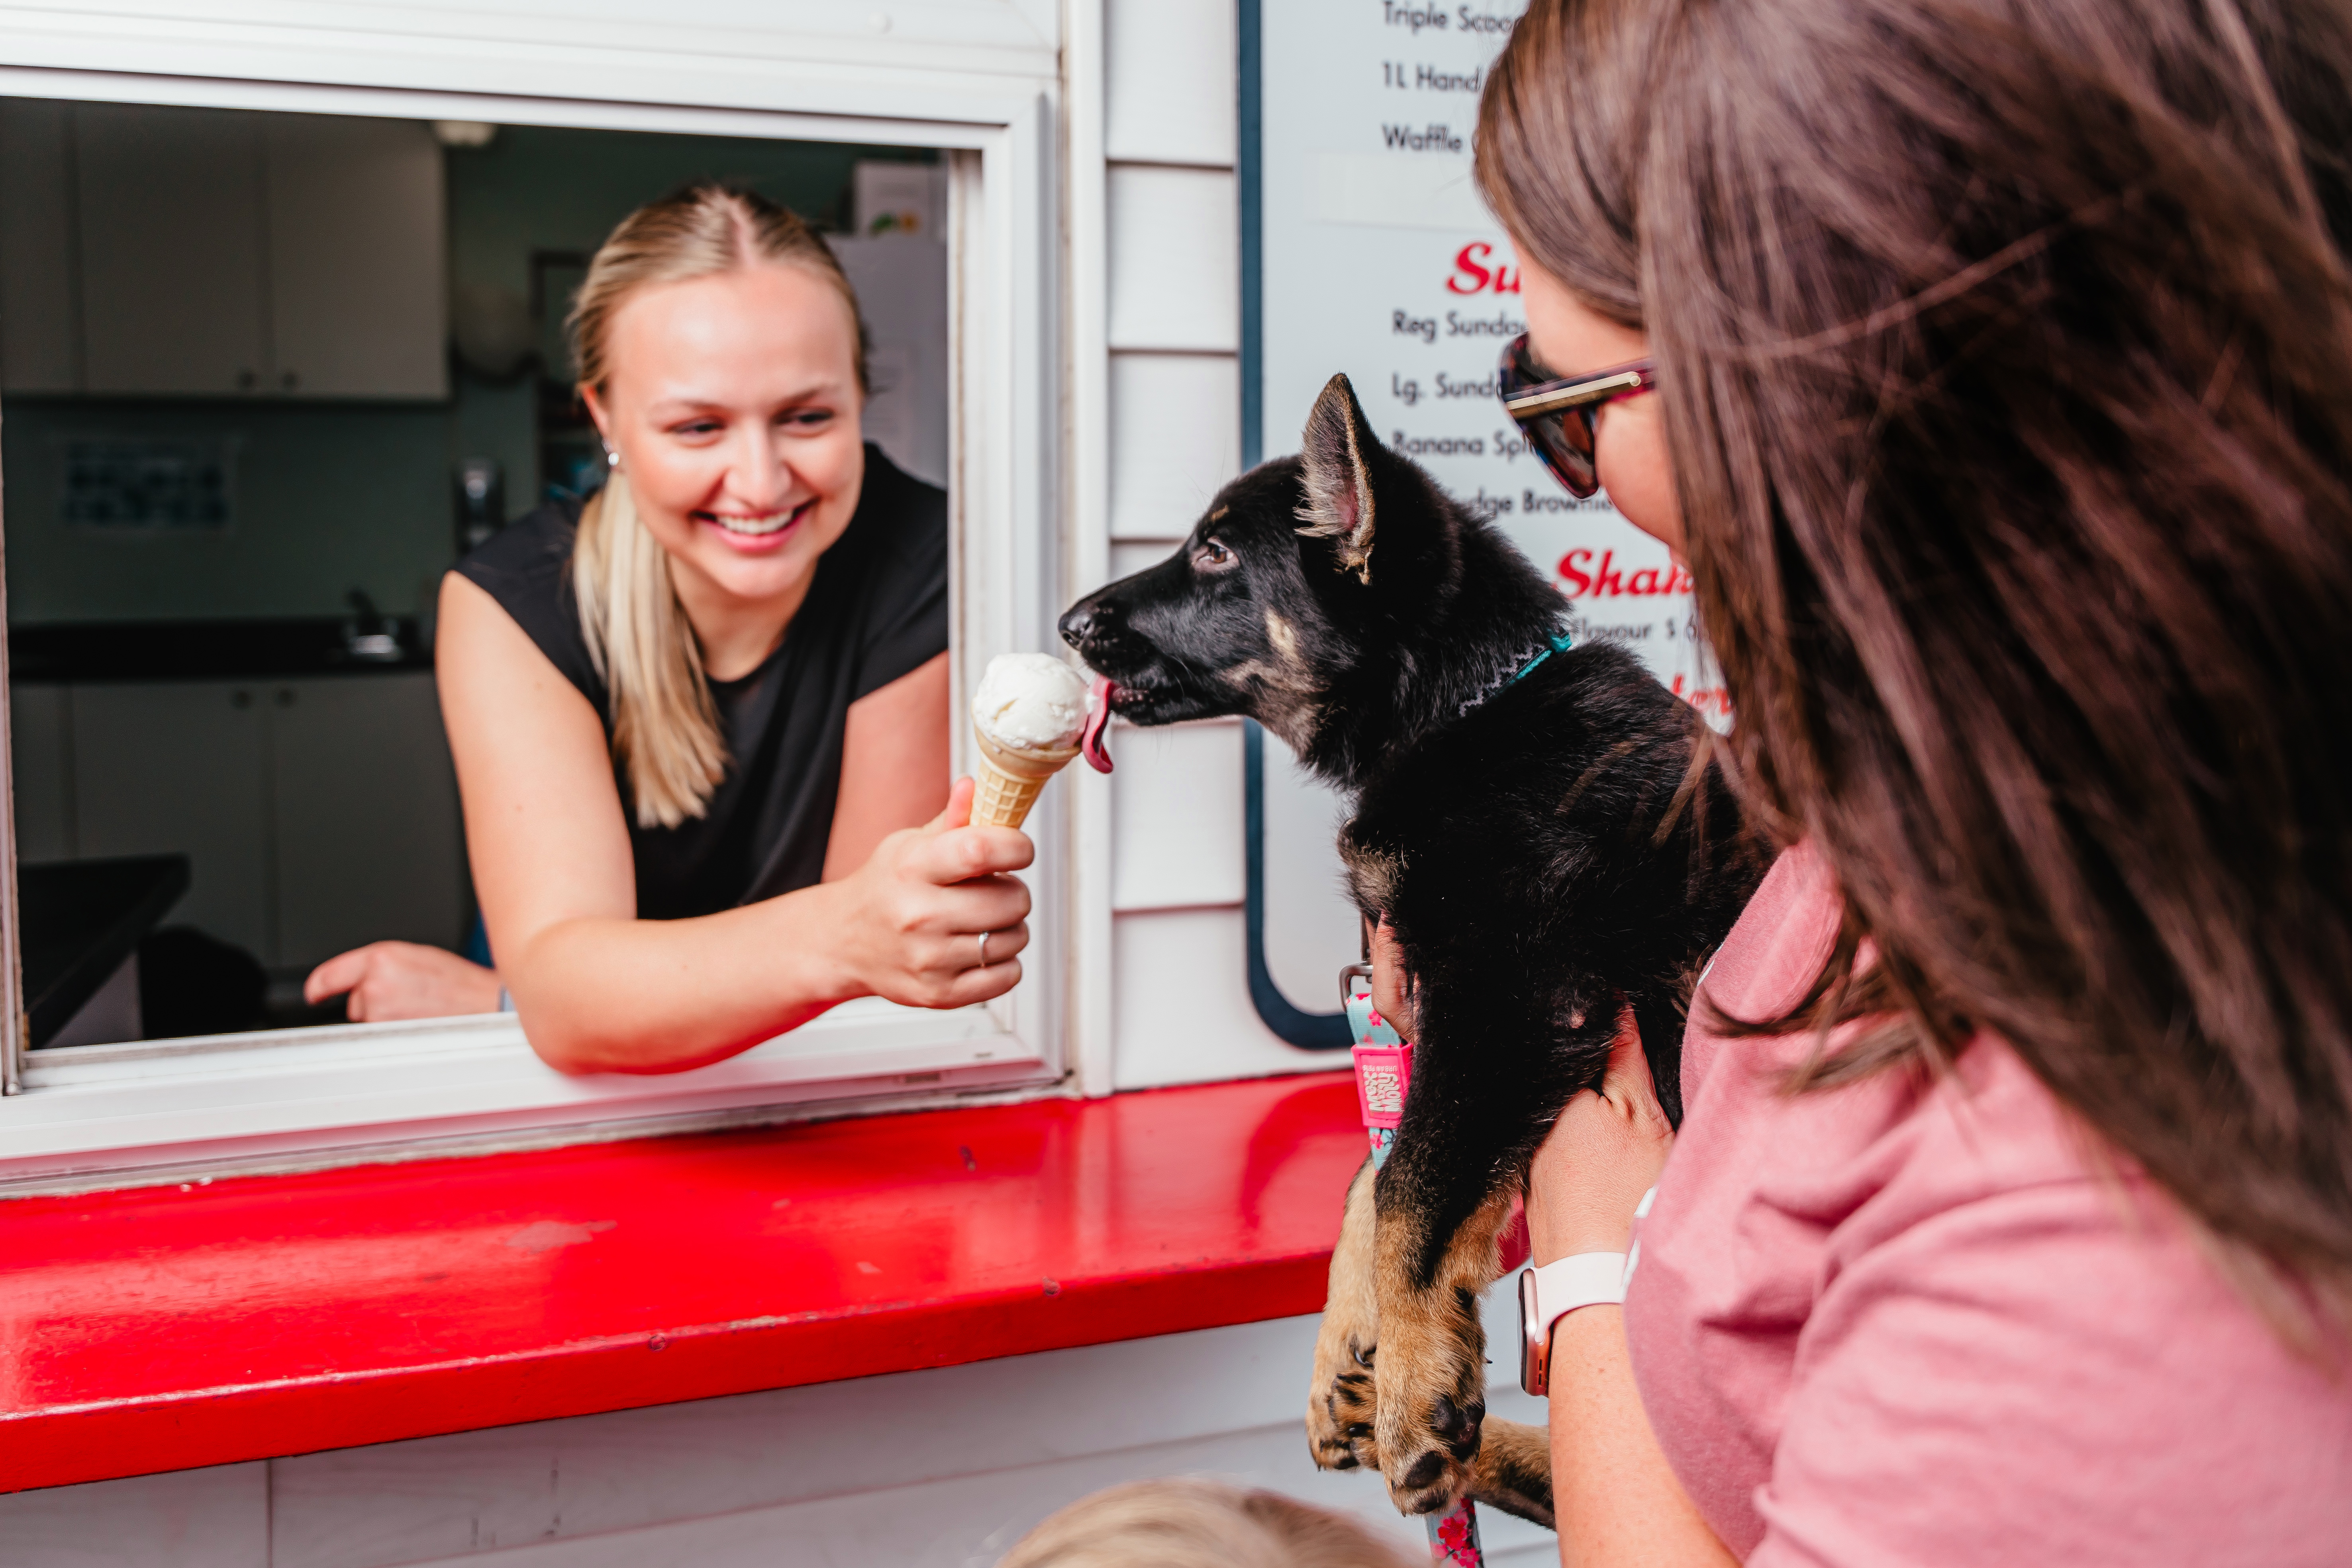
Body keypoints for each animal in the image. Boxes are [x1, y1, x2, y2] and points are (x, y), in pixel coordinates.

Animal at [1068, 374, 1768, 1523]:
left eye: (1216, 553)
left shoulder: (1510, 994)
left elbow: (1412, 1181)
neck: (1462, 709)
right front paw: (1354, 1352)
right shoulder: (1426, 1018)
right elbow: (1376, 1170)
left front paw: (1411, 1388)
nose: (1068, 621)